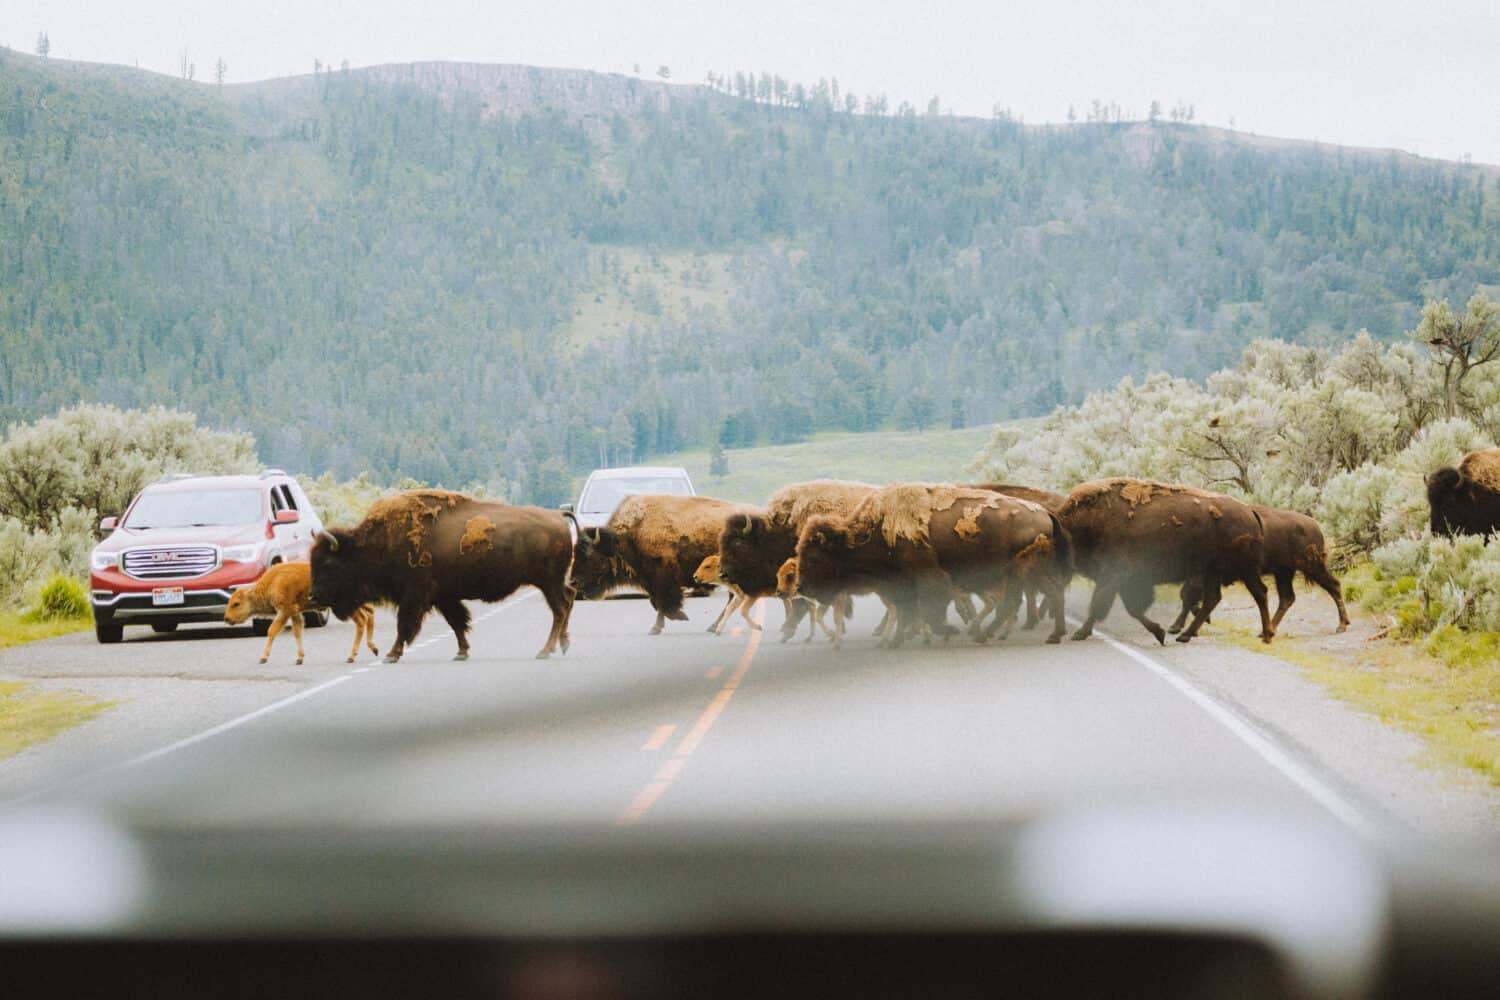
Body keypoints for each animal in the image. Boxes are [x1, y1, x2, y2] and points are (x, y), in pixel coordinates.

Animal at [222, 563, 378, 665]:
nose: (226, 618)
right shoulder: (294, 613)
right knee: (370, 614)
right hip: (360, 603)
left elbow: (272, 630)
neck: (273, 581)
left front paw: (263, 658)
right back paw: (374, 649)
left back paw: (351, 656)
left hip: (349, 606)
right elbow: (297, 631)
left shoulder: (284, 611)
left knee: (362, 620)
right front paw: (299, 658)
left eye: (236, 603)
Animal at [310, 488, 579, 659]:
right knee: (567, 602)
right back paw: (563, 644)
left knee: (559, 609)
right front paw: (462, 652)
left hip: (548, 582)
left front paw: (391, 654)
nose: (313, 596)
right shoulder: (443, 597)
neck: (374, 544)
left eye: (329, 564)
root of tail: (558, 515)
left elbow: (404, 626)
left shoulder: (414, 596)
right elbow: (457, 622)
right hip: (553, 583)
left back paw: (545, 650)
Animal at [567, 491, 744, 632]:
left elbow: (662, 602)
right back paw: (714, 626)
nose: (572, 582)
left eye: (589, 555)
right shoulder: (651, 581)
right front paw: (661, 625)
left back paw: (714, 626)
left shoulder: (662, 580)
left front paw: (672, 619)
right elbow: (657, 603)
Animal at [1062, 479, 1272, 650]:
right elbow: (1125, 607)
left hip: (1245, 570)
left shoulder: (1117, 577)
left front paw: (1080, 633)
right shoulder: (1116, 580)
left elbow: (1108, 604)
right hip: (1212, 572)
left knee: (1259, 593)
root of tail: (1250, 511)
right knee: (1214, 598)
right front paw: (1160, 632)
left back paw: (1267, 635)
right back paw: (1185, 635)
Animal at [1164, 503, 1356, 638]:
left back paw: (1341, 625)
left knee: (1334, 585)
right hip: (1284, 573)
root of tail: (1314, 524)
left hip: (1311, 568)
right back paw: (1267, 630)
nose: (1173, 628)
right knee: (1287, 598)